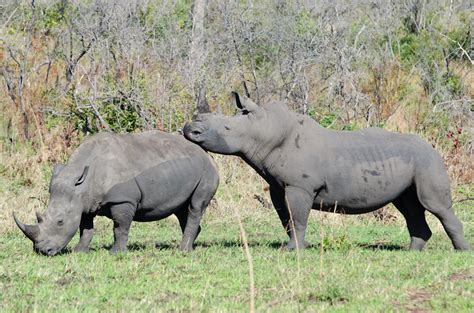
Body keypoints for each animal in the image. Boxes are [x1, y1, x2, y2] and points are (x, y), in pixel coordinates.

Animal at [13, 130, 219, 255]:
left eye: (60, 222)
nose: (42, 251)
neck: (82, 183)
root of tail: (205, 154)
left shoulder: (123, 200)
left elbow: (120, 227)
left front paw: (116, 253)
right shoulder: (84, 202)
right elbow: (85, 228)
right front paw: (79, 251)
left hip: (207, 171)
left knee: (195, 207)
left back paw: (183, 250)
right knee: (182, 210)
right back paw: (190, 245)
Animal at [183, 91, 468, 250]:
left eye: (226, 128)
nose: (189, 129)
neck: (265, 130)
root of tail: (433, 148)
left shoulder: (300, 186)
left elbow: (297, 217)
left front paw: (293, 250)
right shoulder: (278, 186)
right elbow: (286, 218)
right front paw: (295, 246)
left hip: (428, 161)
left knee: (435, 205)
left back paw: (461, 252)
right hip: (412, 166)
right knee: (409, 207)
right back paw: (413, 252)